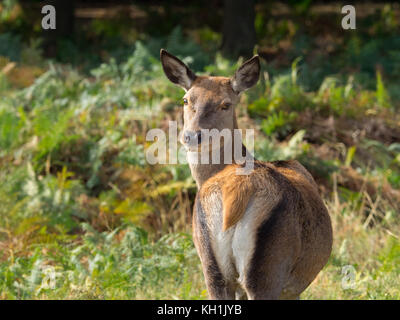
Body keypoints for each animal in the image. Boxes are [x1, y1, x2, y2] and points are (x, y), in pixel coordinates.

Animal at [159, 48, 332, 298]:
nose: (192, 136)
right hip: (269, 268)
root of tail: (236, 193)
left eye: (226, 104)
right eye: (186, 100)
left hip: (212, 268)